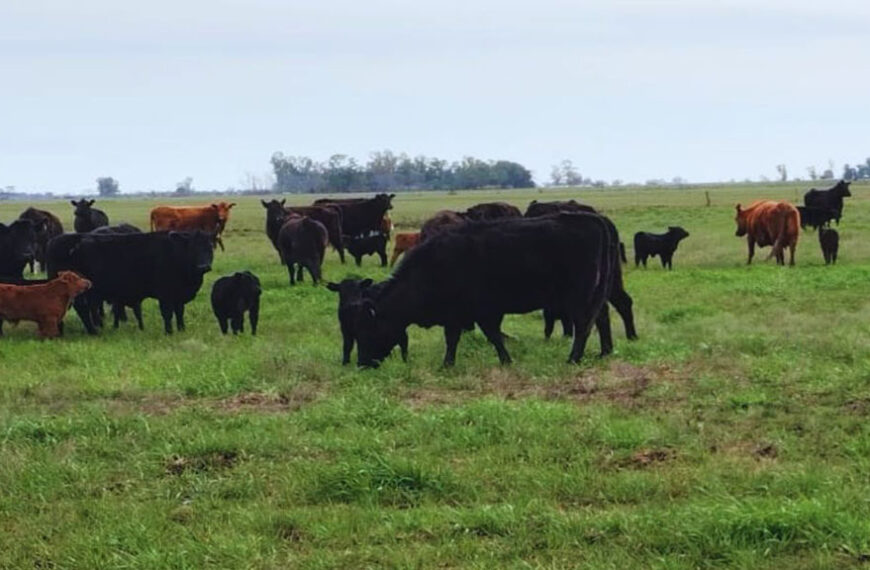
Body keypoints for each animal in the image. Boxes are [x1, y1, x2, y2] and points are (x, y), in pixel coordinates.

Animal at [46, 229, 215, 332]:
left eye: (210, 247)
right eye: (192, 248)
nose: (203, 266)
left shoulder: (178, 294)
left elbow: (179, 312)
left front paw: (181, 329)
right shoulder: (165, 294)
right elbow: (167, 313)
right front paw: (169, 332)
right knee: (82, 309)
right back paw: (93, 331)